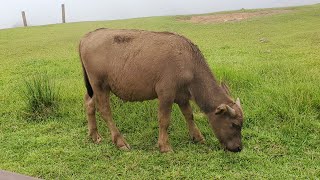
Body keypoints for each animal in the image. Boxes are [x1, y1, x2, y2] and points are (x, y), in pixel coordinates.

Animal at [79, 28, 244, 153]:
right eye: (234, 125)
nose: (238, 148)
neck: (188, 62)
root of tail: (87, 36)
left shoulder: (182, 96)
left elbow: (189, 115)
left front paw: (198, 137)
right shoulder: (166, 94)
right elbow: (164, 120)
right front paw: (165, 146)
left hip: (92, 88)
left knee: (89, 103)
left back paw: (94, 135)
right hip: (100, 85)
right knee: (105, 110)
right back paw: (120, 142)